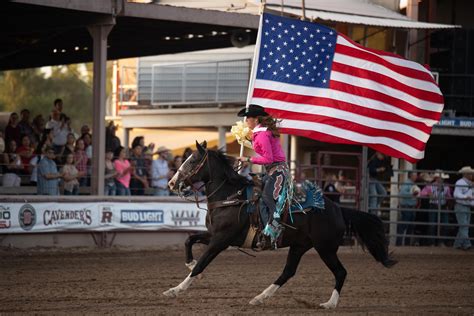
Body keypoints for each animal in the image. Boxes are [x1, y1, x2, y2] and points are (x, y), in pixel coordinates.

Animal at [164, 141, 396, 308]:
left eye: (192, 161)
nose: (172, 183)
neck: (230, 196)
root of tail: (338, 209)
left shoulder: (221, 240)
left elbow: (203, 261)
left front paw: (176, 289)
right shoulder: (214, 235)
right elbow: (189, 240)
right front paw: (190, 265)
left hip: (325, 248)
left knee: (340, 272)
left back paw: (329, 304)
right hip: (300, 246)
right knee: (288, 272)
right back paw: (260, 297)